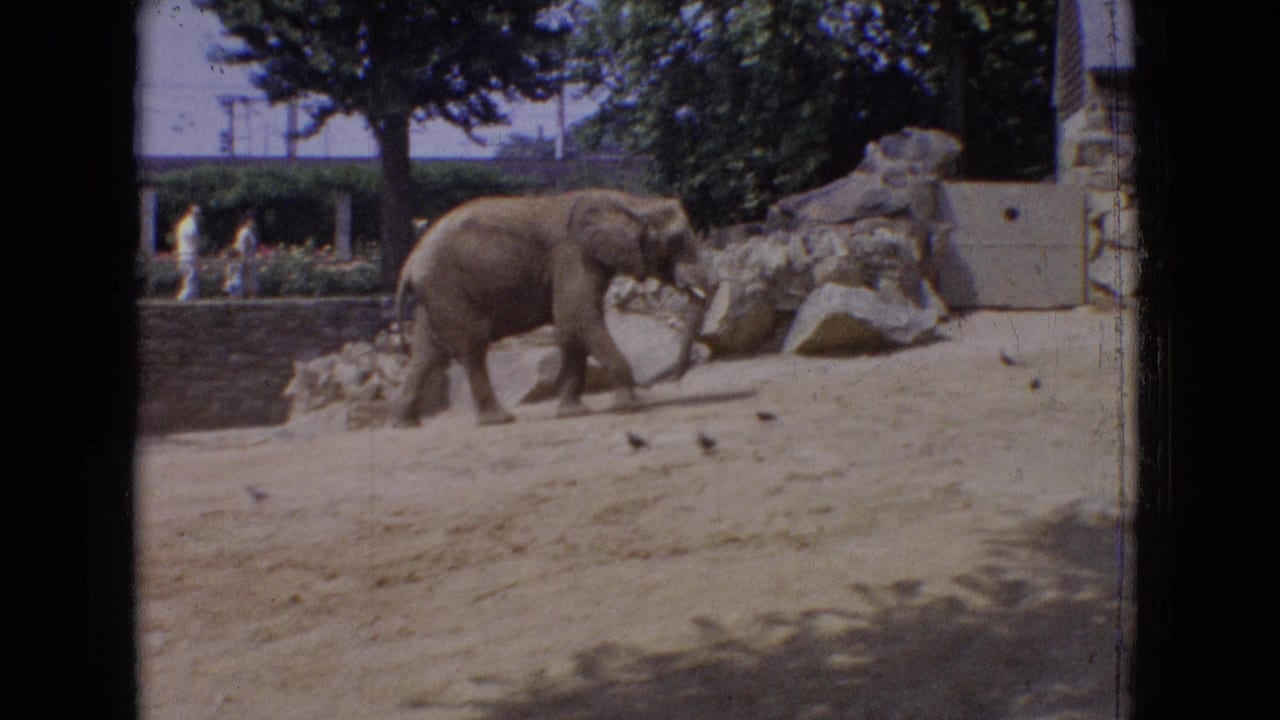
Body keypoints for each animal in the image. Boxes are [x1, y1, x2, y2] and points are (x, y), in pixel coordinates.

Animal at [391, 189, 712, 427]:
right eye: (675, 241)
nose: (675, 380)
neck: (629, 201)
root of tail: (409, 266)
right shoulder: (573, 254)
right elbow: (578, 315)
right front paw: (632, 406)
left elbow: (571, 326)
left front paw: (574, 413)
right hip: (448, 287)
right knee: (472, 344)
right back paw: (499, 420)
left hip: (435, 294)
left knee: (426, 352)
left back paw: (406, 423)